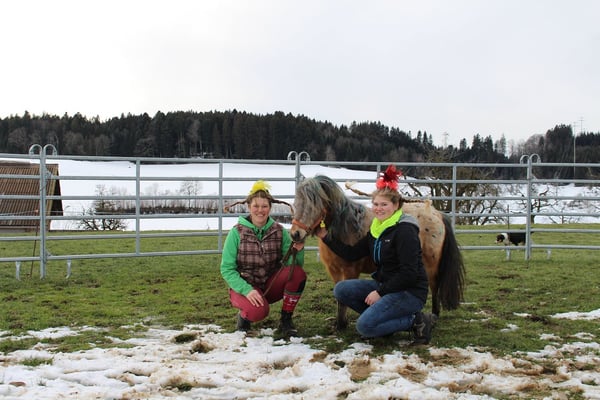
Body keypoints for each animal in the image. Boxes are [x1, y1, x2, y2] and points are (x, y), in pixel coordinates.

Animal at [290, 174, 465, 330]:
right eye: (297, 203)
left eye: (314, 205)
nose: (295, 234)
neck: (346, 228)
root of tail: (437, 214)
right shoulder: (334, 271)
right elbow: (339, 298)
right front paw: (340, 324)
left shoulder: (350, 271)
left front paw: (341, 325)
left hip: (431, 265)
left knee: (434, 287)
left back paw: (433, 317)